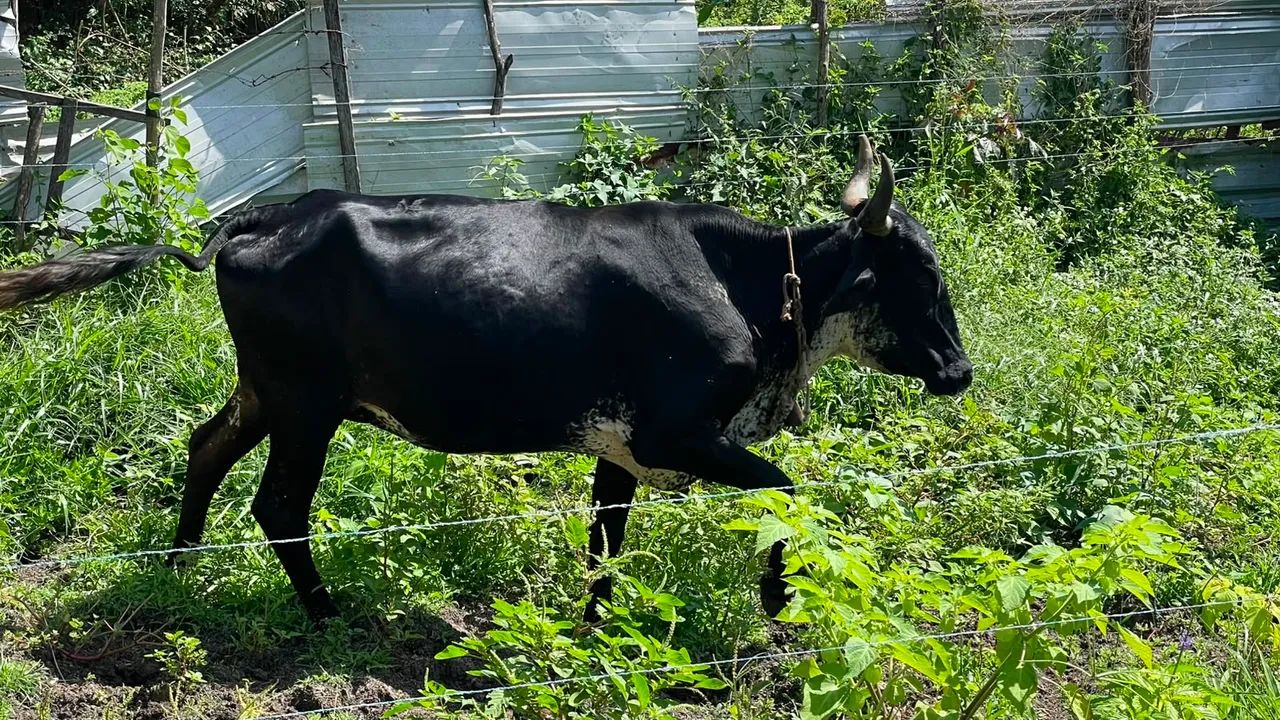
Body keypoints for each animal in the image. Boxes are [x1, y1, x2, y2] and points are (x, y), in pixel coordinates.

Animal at [0, 136, 972, 625]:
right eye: (921, 279)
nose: (960, 373)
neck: (746, 285)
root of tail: (267, 216)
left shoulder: (620, 444)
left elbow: (604, 542)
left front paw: (595, 628)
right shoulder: (678, 434)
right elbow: (784, 491)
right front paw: (778, 597)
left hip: (268, 394)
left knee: (205, 450)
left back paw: (177, 565)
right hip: (307, 408)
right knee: (277, 506)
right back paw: (329, 611)